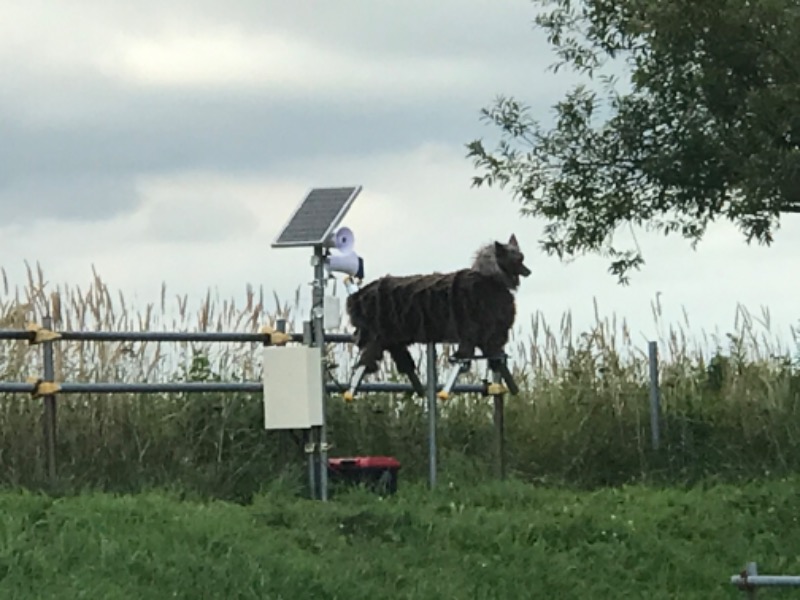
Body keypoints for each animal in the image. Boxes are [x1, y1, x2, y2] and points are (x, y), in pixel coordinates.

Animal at [346, 234, 528, 380]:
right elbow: (471, 349)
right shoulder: (477, 330)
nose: (529, 271)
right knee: (369, 356)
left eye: (522, 257)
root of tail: (357, 296)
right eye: (517, 259)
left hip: (390, 336)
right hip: (376, 334)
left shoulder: (485, 333)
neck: (491, 279)